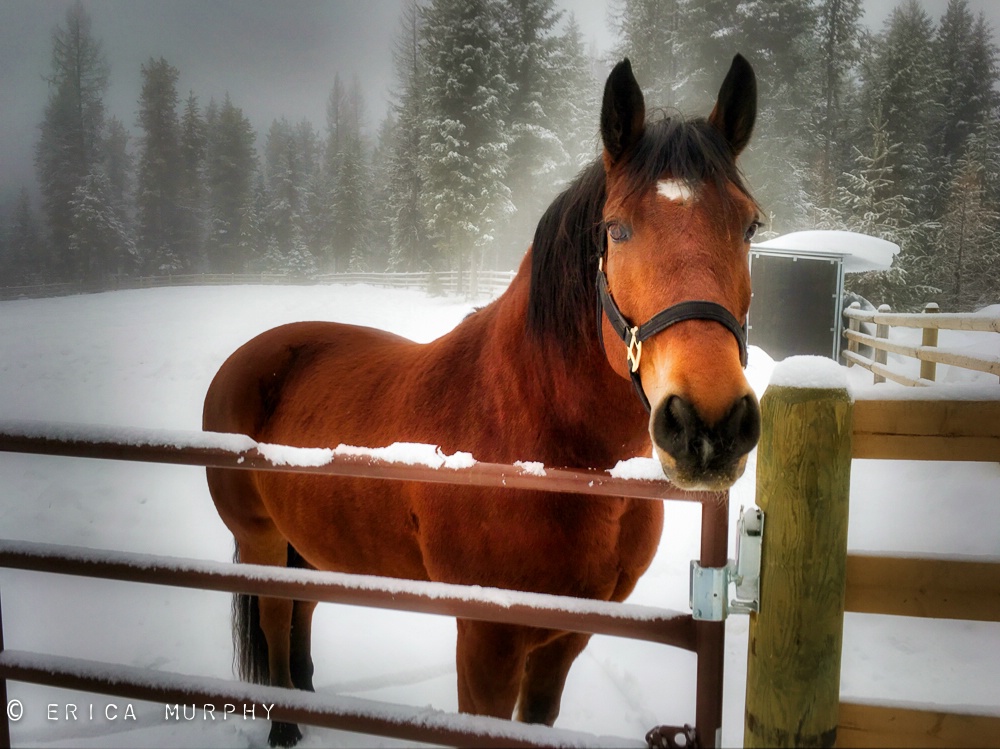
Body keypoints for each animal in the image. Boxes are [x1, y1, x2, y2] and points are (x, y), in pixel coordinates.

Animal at [207, 54, 760, 748]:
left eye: (750, 225)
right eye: (617, 229)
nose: (710, 424)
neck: (540, 455)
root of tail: (249, 357)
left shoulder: (566, 637)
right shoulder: (486, 640)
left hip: (305, 542)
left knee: (301, 611)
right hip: (261, 544)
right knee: (278, 620)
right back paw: (283, 724)